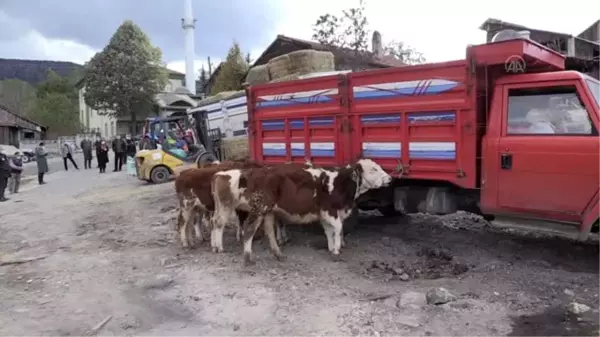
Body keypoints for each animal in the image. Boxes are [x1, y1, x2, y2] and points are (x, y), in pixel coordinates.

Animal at [212, 159, 394, 264]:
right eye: (373, 169)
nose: (390, 178)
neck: (340, 183)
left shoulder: (325, 214)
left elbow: (329, 231)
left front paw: (331, 248)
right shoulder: (330, 210)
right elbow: (338, 229)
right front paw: (336, 250)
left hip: (267, 211)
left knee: (269, 232)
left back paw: (278, 254)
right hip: (257, 207)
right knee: (247, 229)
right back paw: (246, 256)